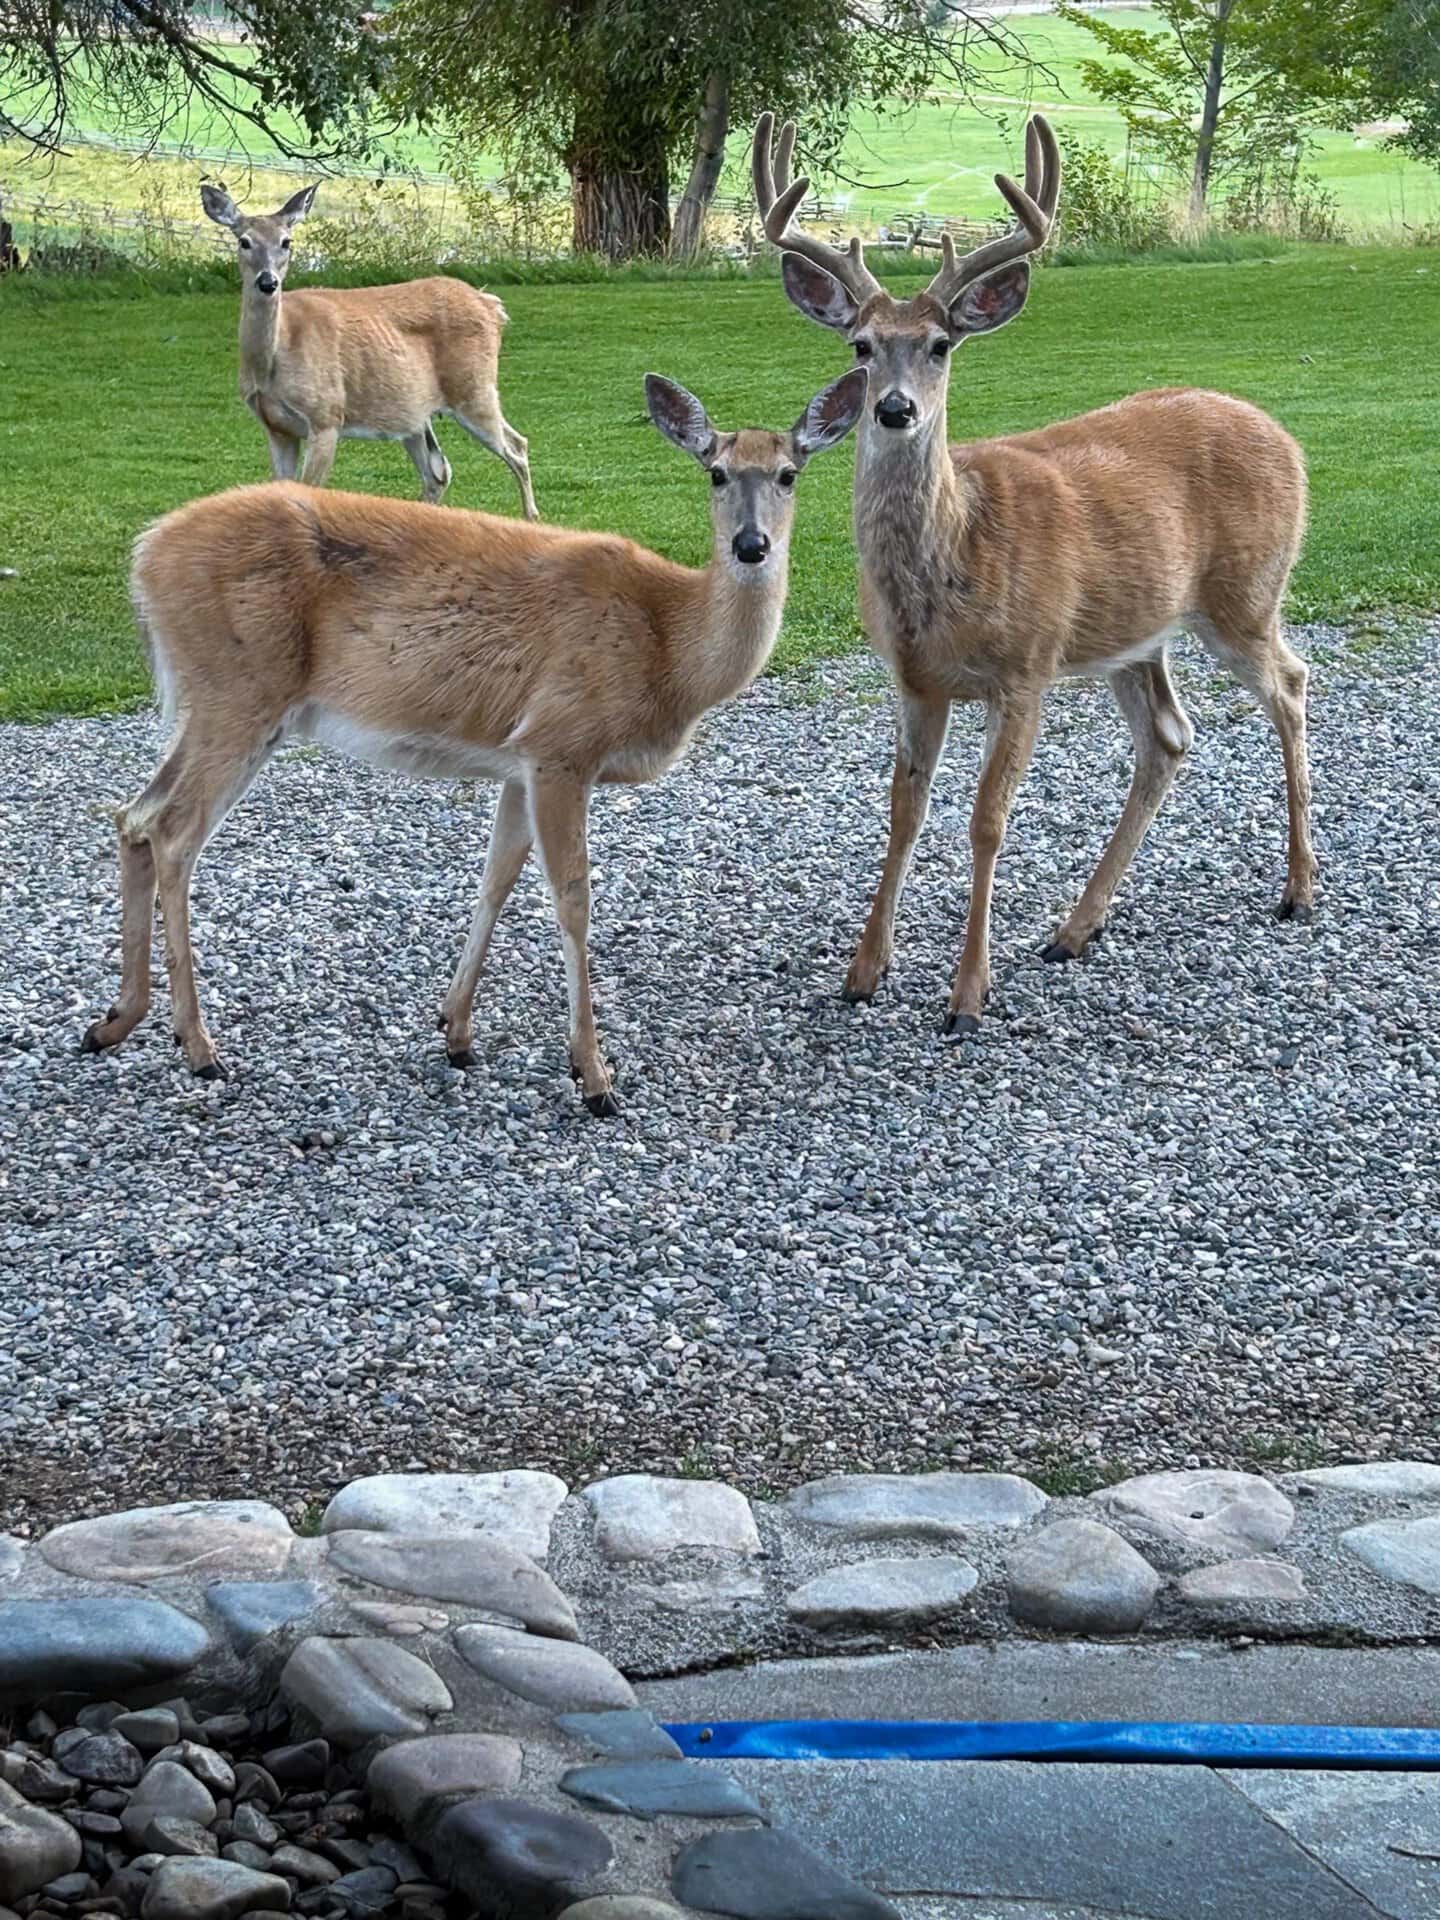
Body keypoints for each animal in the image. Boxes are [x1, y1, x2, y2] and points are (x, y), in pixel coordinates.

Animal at [80, 368, 868, 1115]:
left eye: (789, 473)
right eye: (716, 472)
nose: (751, 545)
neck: (668, 641)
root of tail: (145, 555)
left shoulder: (518, 760)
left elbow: (495, 879)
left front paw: (456, 1031)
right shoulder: (562, 741)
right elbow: (572, 898)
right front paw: (594, 1077)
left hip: (225, 703)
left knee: (134, 815)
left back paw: (115, 1021)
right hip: (238, 689)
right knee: (174, 831)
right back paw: (198, 1046)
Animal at [200, 183, 538, 521]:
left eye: (286, 241)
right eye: (244, 241)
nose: (268, 282)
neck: (272, 360)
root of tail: (492, 305)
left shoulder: (327, 416)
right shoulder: (276, 427)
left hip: (474, 389)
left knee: (517, 446)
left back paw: (531, 517)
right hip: (415, 414)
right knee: (438, 472)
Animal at [752, 112, 1316, 1039]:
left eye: (940, 345)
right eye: (861, 346)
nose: (894, 408)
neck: (956, 557)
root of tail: (1287, 436)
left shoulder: (1025, 667)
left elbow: (986, 821)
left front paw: (966, 996)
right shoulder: (914, 680)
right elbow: (903, 811)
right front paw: (864, 972)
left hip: (1243, 594)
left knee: (1292, 686)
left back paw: (1299, 890)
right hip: (1136, 634)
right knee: (1170, 735)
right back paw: (1074, 929)